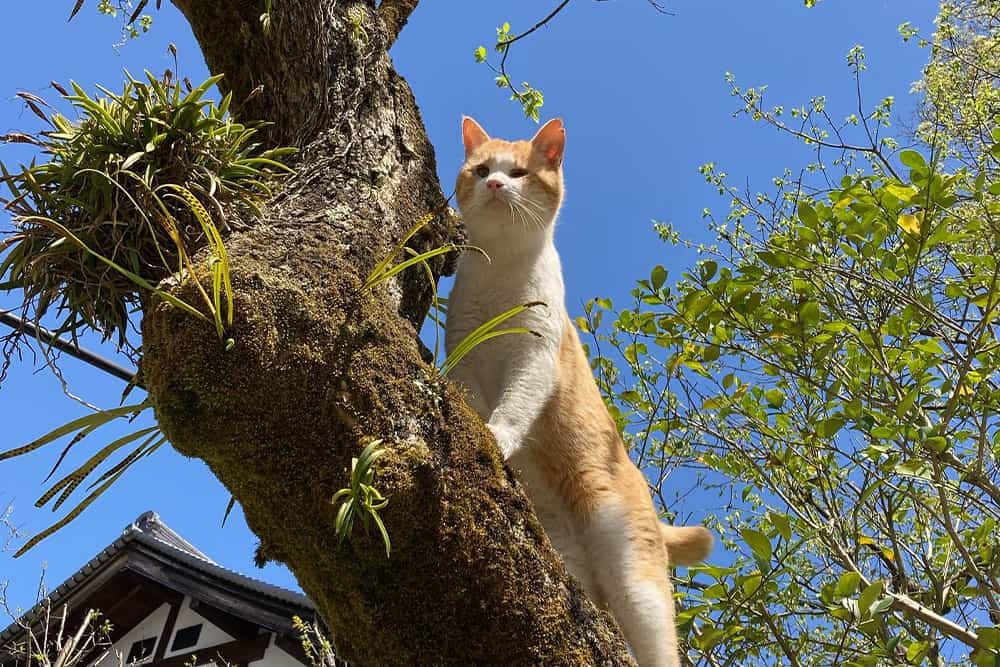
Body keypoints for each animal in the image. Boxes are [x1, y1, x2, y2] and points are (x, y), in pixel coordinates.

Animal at [444, 117, 712, 664]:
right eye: (481, 170)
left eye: (518, 172)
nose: (495, 184)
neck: (502, 270)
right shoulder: (463, 347)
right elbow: (471, 396)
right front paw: (477, 422)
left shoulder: (534, 357)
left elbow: (515, 406)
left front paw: (497, 434)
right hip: (568, 551)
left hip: (634, 575)